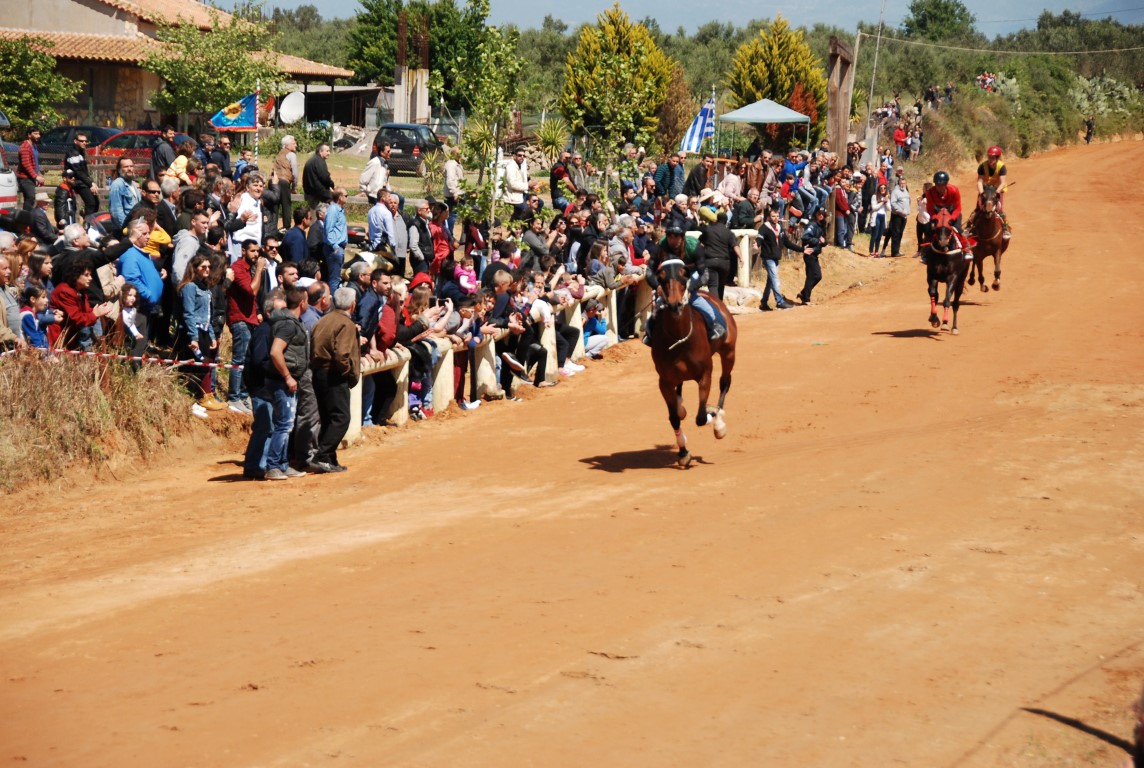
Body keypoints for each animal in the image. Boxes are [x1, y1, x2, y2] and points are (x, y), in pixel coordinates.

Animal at [649, 259, 736, 469]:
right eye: (661, 278)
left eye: (684, 275)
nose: (675, 304)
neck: (680, 338)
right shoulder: (664, 381)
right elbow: (673, 418)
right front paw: (683, 453)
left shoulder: (705, 375)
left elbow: (701, 418)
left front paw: (714, 418)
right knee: (679, 394)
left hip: (729, 352)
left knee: (725, 382)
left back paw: (718, 419)